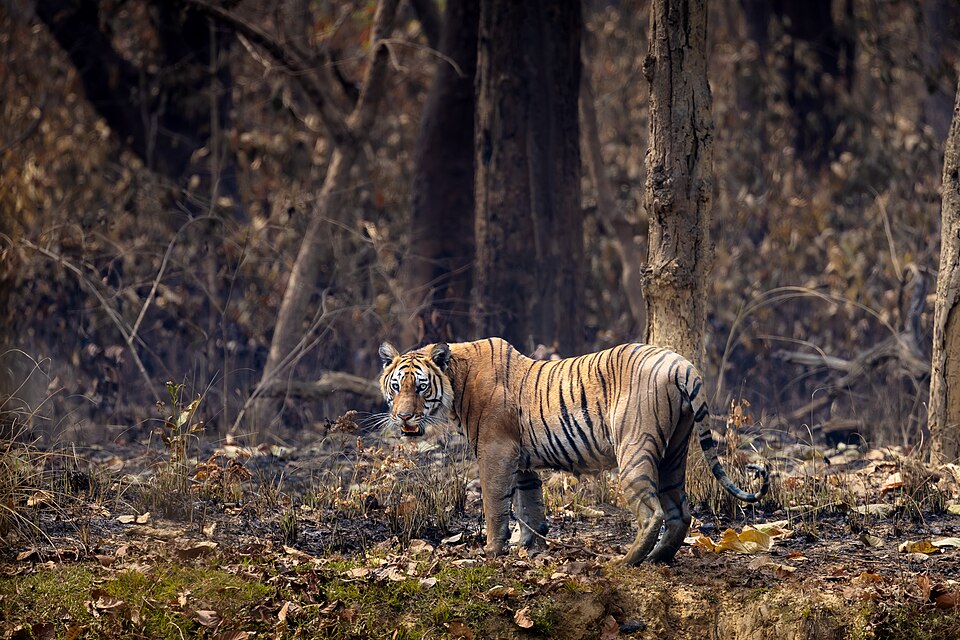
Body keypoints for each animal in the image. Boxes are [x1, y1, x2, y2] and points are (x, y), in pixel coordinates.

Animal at [377, 337, 768, 565]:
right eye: (396, 387)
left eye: (421, 387)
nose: (403, 416)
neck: (455, 380)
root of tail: (681, 364)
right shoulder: (521, 461)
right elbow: (529, 506)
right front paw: (532, 549)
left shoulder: (495, 452)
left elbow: (494, 505)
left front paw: (492, 551)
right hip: (674, 452)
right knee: (679, 511)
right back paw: (659, 558)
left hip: (635, 449)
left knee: (653, 512)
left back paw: (625, 562)